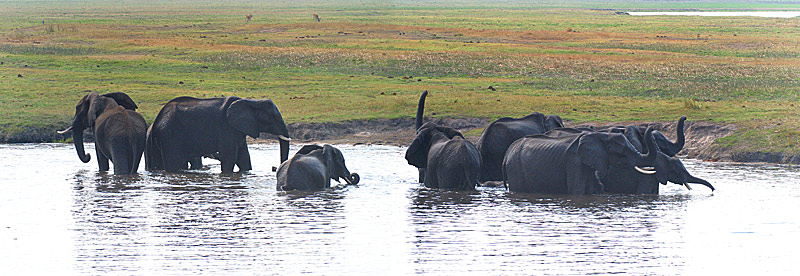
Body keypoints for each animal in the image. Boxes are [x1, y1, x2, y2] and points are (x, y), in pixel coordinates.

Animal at [146, 96, 290, 174]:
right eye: (272, 117)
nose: (274, 167)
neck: (251, 102)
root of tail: (156, 120)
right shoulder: (227, 129)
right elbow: (230, 157)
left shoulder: (238, 130)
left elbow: (244, 158)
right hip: (169, 136)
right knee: (173, 164)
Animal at [504, 127, 660, 194]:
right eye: (622, 152)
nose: (650, 128)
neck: (600, 135)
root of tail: (507, 154)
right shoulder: (574, 161)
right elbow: (577, 189)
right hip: (515, 167)